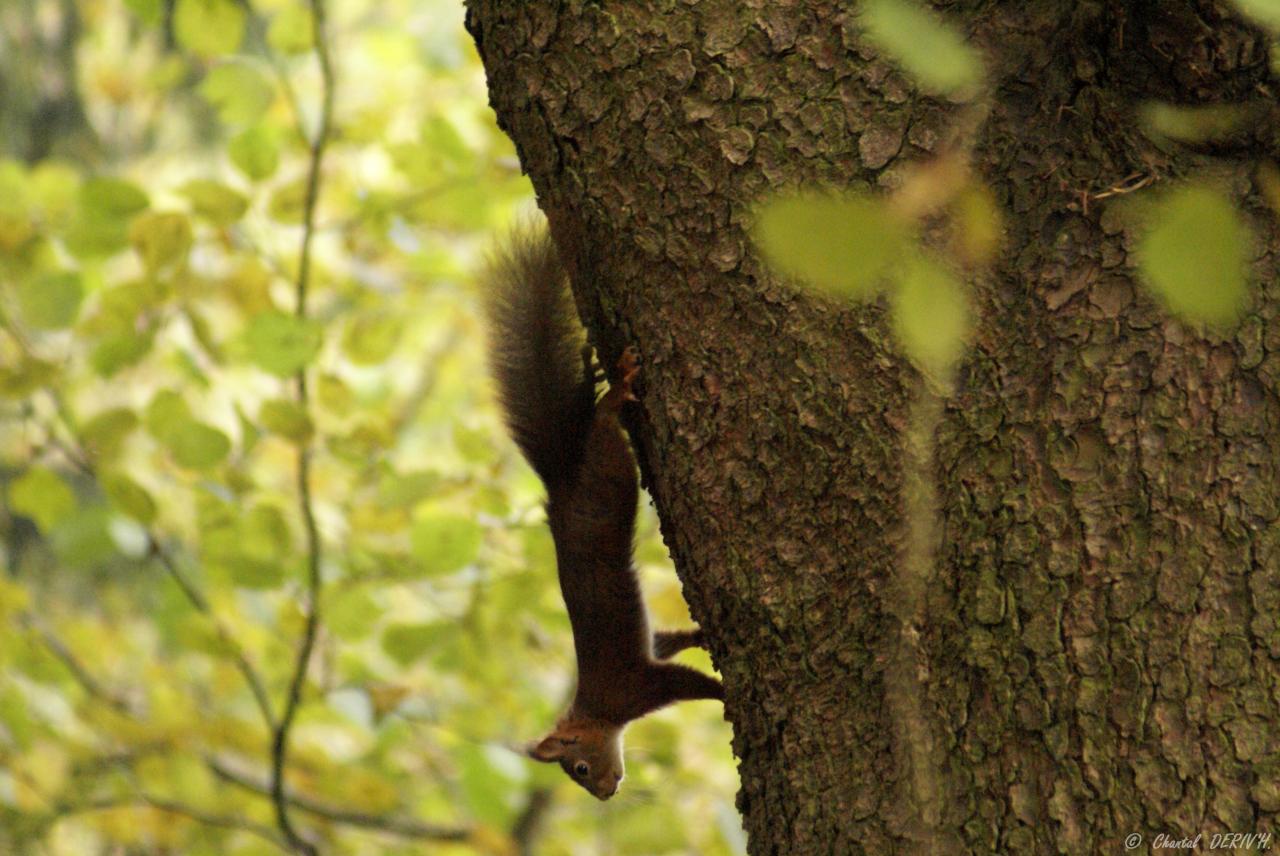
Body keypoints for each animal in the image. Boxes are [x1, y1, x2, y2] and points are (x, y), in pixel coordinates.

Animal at [481, 223, 727, 798]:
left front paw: (724, 693)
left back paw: (618, 388)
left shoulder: (636, 686)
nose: (605, 793)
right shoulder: (648, 659)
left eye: (578, 767)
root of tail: (561, 482)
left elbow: (688, 682)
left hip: (609, 466)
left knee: (605, 418)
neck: (599, 711)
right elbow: (667, 642)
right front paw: (700, 637)